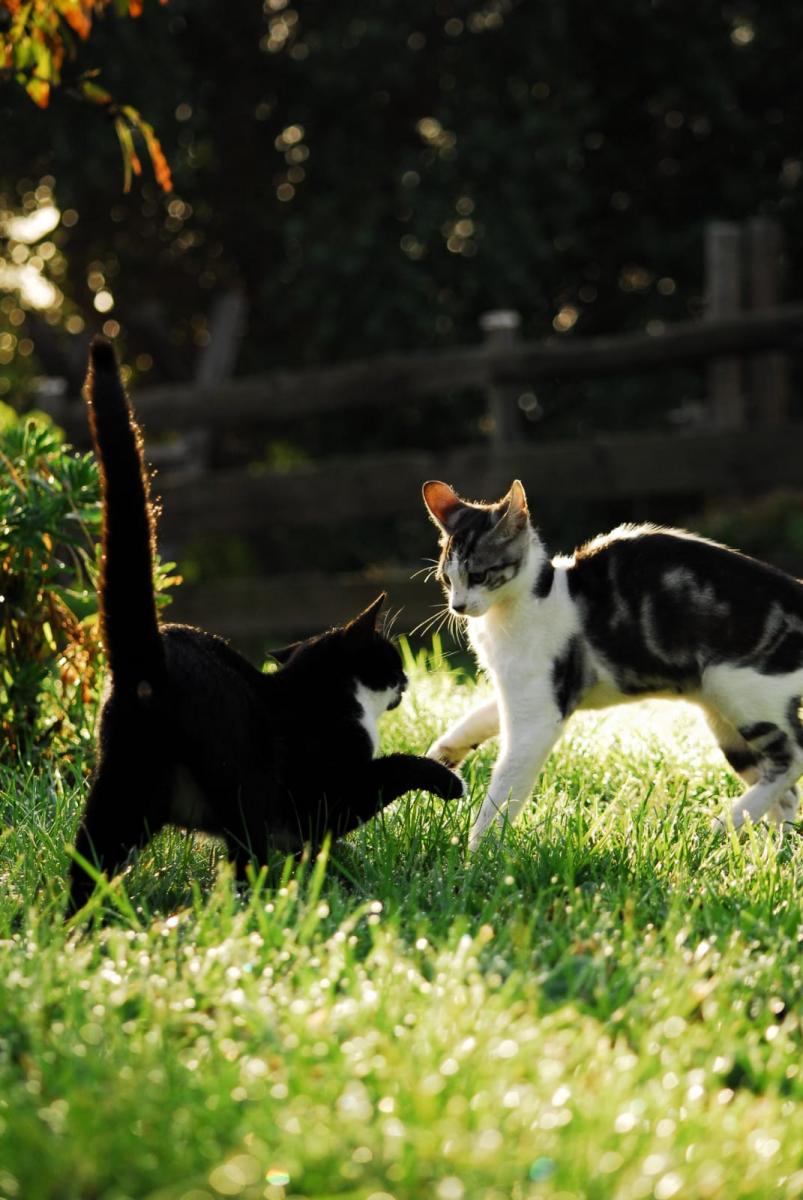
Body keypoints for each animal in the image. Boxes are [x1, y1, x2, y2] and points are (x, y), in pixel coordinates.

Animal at [70, 340, 463, 907]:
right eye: (390, 657)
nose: (408, 680)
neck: (329, 696)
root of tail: (148, 665)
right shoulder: (325, 797)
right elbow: (390, 769)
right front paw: (444, 780)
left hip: (123, 794)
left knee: (86, 866)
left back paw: (79, 920)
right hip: (241, 790)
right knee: (242, 859)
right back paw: (251, 906)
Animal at [422, 482, 796, 849]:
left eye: (479, 575)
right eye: (447, 579)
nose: (458, 607)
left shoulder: (539, 715)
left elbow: (504, 788)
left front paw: (477, 852)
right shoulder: (518, 689)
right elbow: (476, 718)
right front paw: (441, 757)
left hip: (736, 690)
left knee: (793, 759)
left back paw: (724, 824)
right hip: (725, 720)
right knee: (785, 792)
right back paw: (773, 850)